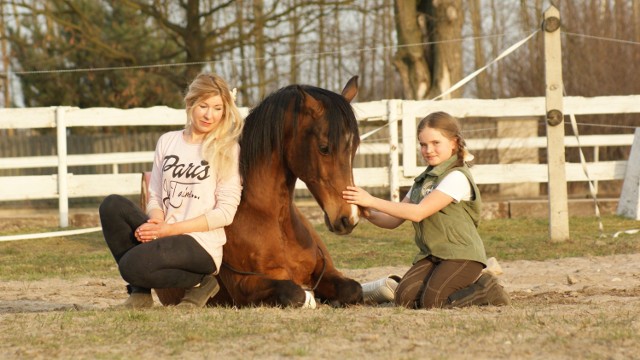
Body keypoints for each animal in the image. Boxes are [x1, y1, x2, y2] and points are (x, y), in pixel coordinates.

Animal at [154, 76, 364, 306]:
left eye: (354, 146)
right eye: (324, 147)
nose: (349, 218)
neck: (273, 219)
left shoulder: (325, 271)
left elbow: (353, 289)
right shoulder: (245, 286)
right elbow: (295, 292)